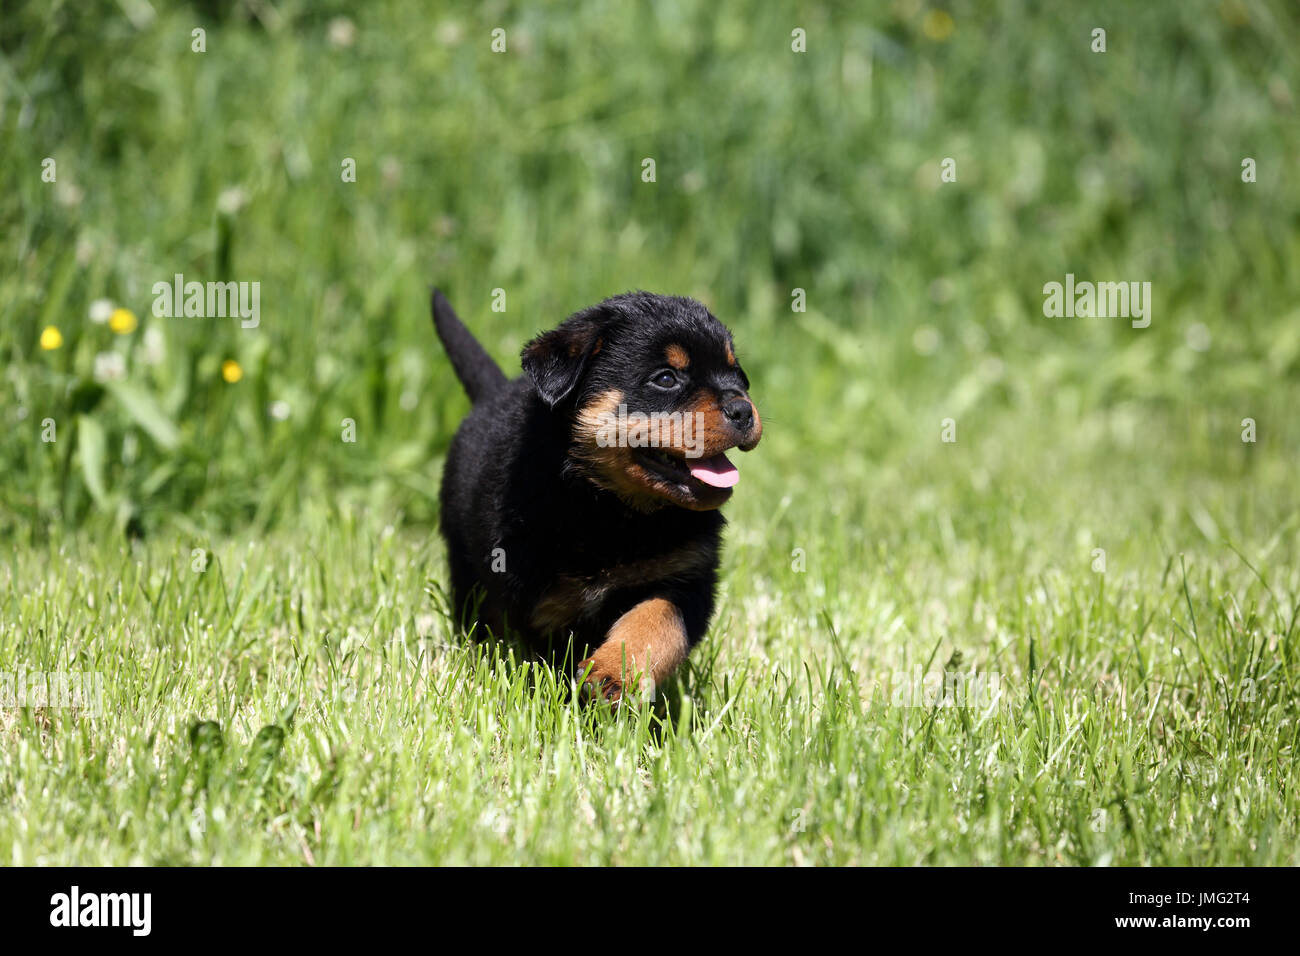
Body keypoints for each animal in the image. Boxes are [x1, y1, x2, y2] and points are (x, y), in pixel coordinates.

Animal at [434, 287, 759, 697]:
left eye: (738, 375)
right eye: (666, 378)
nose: (743, 409)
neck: (614, 510)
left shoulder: (687, 578)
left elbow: (657, 620)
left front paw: (613, 673)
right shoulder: (530, 592)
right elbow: (529, 650)